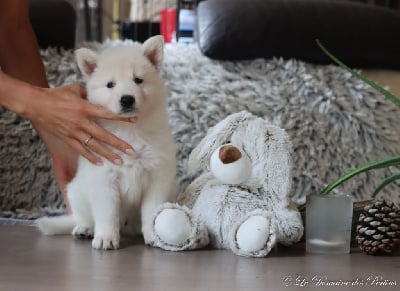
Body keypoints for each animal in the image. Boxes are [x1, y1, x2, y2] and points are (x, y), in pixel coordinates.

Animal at [36, 36, 177, 251]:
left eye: (138, 80)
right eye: (110, 84)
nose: (127, 99)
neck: (129, 129)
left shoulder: (157, 176)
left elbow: (151, 210)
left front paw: (153, 235)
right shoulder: (104, 179)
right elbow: (107, 214)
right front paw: (106, 238)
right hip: (76, 192)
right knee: (83, 217)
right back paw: (84, 228)